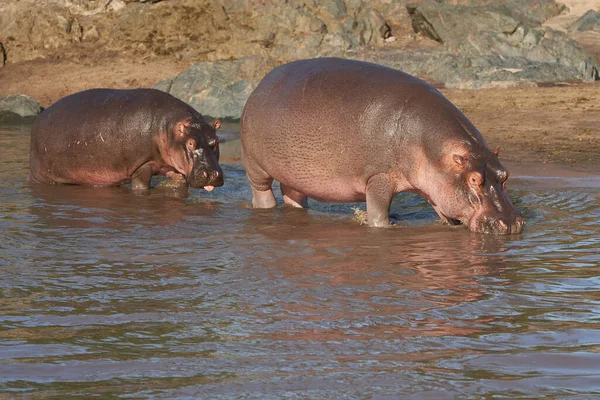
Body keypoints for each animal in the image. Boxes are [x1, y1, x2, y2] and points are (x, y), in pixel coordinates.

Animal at [29, 88, 224, 194]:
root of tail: (40, 117)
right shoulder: (142, 166)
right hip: (42, 176)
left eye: (215, 141)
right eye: (190, 143)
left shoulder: (173, 169)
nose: (212, 174)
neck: (167, 128)